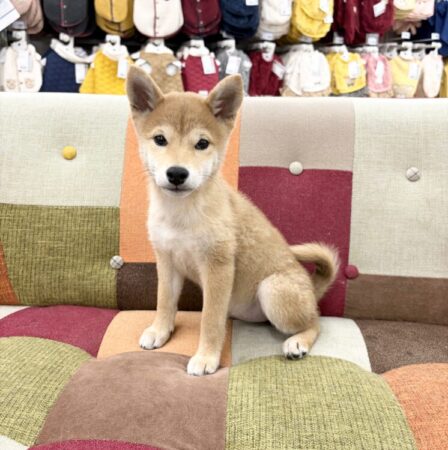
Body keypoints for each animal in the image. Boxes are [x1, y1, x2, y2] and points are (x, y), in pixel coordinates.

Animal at [126, 66, 340, 376]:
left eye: (202, 143)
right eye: (160, 140)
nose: (177, 173)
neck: (182, 214)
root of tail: (312, 288)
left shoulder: (218, 268)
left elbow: (210, 320)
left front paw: (206, 357)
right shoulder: (166, 261)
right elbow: (164, 302)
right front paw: (159, 331)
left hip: (273, 290)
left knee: (317, 321)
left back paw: (298, 342)